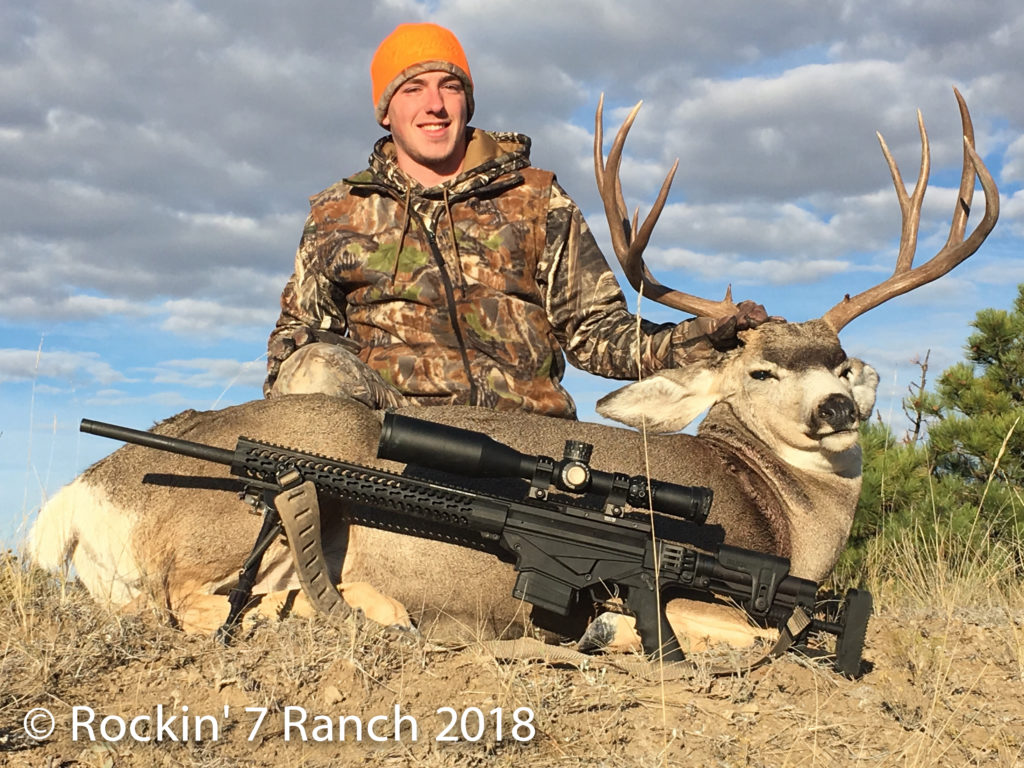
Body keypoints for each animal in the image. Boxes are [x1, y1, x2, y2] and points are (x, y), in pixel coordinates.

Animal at [28, 91, 995, 651]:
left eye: (840, 363)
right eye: (759, 372)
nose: (836, 407)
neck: (776, 509)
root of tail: (85, 489)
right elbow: (749, 636)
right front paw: (609, 630)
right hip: (227, 521)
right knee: (187, 603)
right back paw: (359, 610)